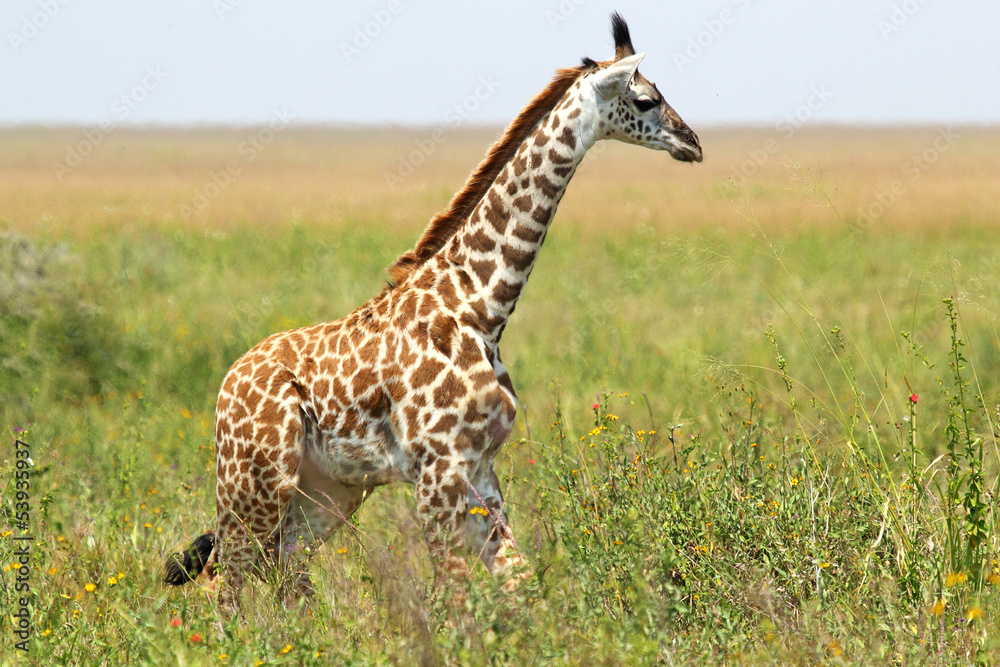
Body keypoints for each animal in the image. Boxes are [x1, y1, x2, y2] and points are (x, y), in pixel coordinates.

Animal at [164, 13, 701, 612]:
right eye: (647, 99)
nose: (693, 142)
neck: (482, 305)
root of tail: (226, 385)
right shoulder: (436, 470)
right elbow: (454, 593)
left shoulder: (479, 467)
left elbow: (519, 582)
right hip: (254, 481)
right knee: (224, 584)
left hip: (331, 489)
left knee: (283, 567)